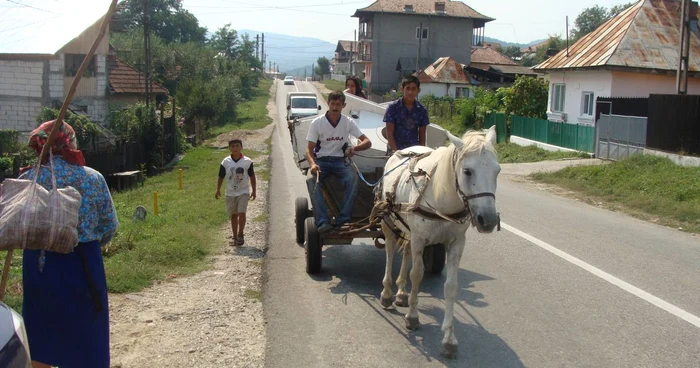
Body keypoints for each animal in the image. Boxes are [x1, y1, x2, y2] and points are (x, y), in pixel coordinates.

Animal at [380, 125, 500, 358]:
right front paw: (412, 317)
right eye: (467, 171)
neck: (441, 196)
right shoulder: (420, 239)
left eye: (497, 171)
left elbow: (451, 287)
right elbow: (417, 275)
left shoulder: (456, 243)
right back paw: (388, 294)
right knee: (389, 252)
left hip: (409, 230)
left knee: (406, 252)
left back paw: (401, 293)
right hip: (389, 221)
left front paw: (449, 339)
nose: (489, 220)